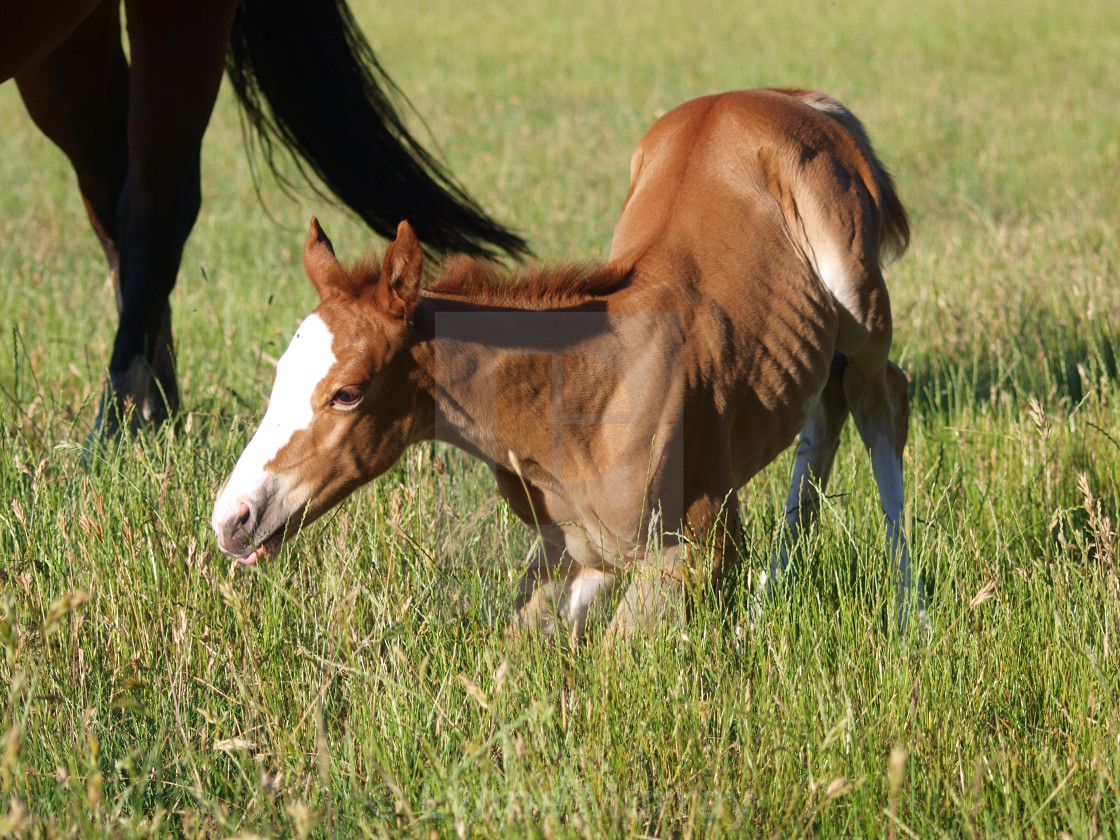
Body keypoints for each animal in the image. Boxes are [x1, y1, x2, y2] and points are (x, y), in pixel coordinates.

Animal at [213, 89, 922, 636]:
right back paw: (769, 600)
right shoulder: (574, 556)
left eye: (348, 392)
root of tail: (796, 100)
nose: (232, 519)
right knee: (825, 410)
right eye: (278, 376)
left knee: (879, 396)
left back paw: (908, 609)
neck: (580, 397)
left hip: (860, 305)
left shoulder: (696, 549)